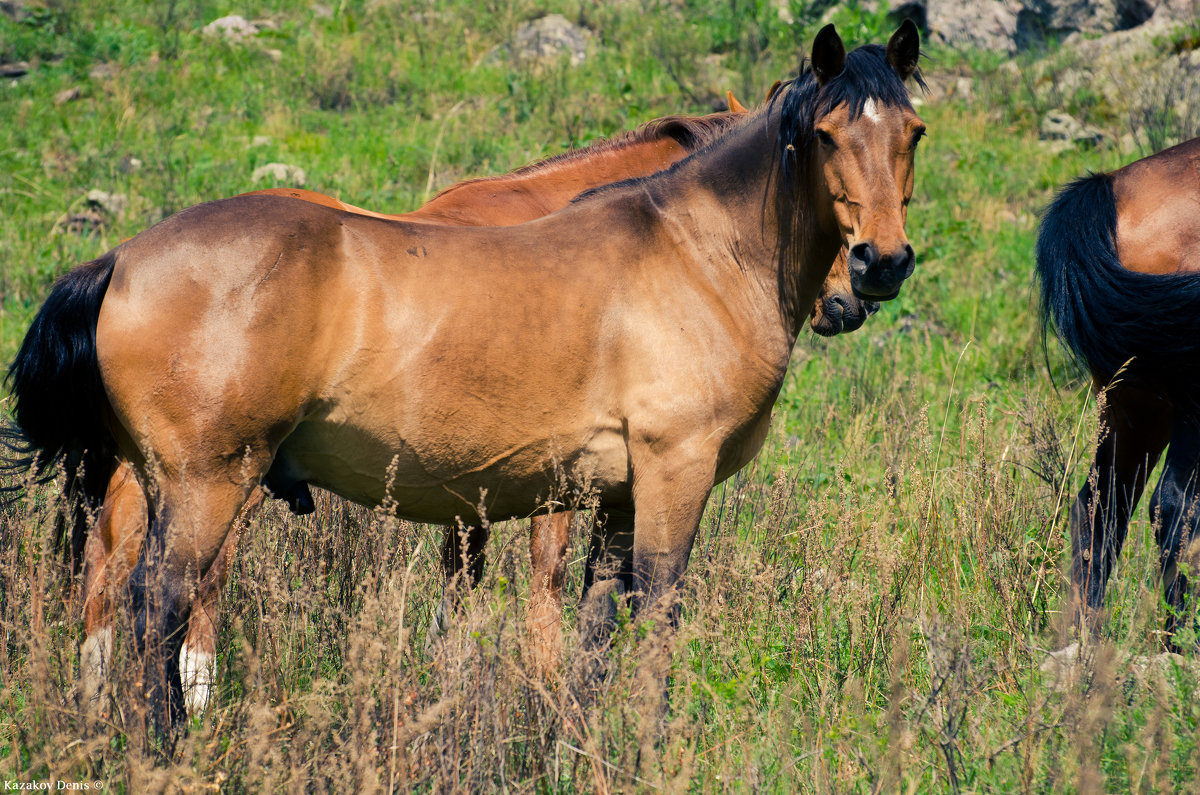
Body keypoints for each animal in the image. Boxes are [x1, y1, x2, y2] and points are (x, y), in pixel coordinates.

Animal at [4, 18, 921, 730]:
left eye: (911, 134)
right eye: (827, 136)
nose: (874, 271)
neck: (689, 252)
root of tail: (121, 258)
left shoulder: (608, 497)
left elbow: (591, 632)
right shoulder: (668, 477)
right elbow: (646, 616)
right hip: (205, 483)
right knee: (155, 604)